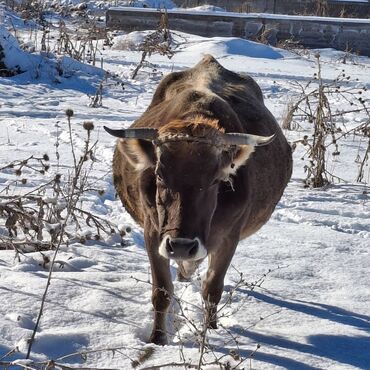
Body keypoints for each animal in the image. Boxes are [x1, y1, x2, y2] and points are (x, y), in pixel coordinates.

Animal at [104, 54, 292, 344]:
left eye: (216, 179)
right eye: (159, 174)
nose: (181, 246)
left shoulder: (229, 237)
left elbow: (212, 289)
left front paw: (210, 333)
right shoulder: (153, 232)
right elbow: (162, 292)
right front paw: (157, 339)